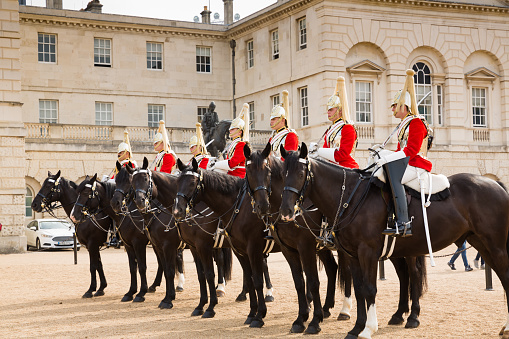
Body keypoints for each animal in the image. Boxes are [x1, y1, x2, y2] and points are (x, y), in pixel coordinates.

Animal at [280, 144, 508, 339]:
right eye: (282, 174)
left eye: (300, 174)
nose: (286, 211)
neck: (350, 197)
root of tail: (495, 183)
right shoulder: (353, 254)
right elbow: (360, 289)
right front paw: (356, 327)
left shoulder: (367, 252)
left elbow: (370, 288)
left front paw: (368, 328)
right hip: (480, 244)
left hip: (495, 247)